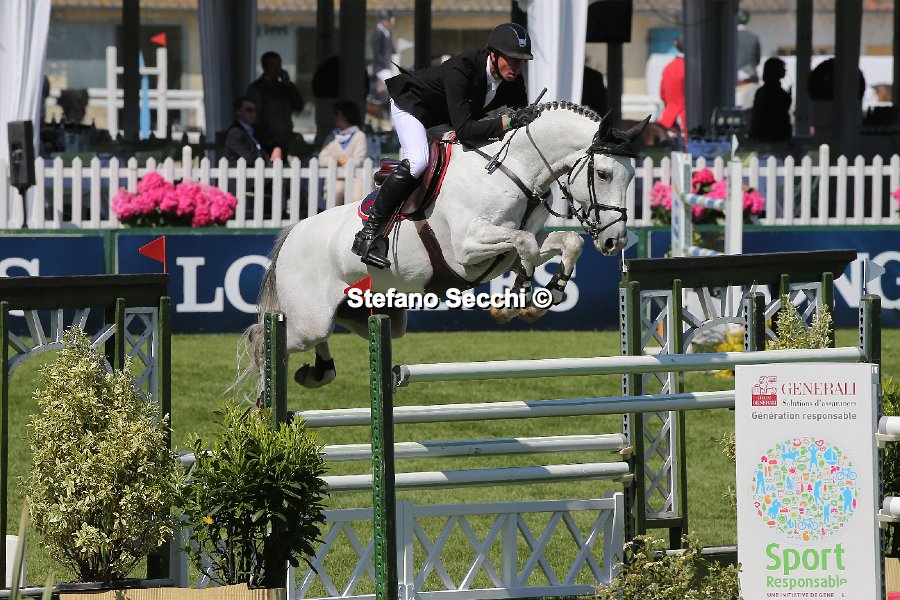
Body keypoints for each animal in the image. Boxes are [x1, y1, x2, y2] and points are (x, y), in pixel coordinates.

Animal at [246, 102, 647, 391]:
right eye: (603, 174)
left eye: (631, 176)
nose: (614, 241)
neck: (514, 170)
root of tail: (292, 233)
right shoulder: (468, 249)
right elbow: (526, 247)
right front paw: (514, 302)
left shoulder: (509, 248)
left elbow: (565, 242)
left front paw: (545, 298)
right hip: (309, 319)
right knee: (265, 341)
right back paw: (265, 406)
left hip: (367, 317)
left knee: (321, 339)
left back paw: (316, 373)